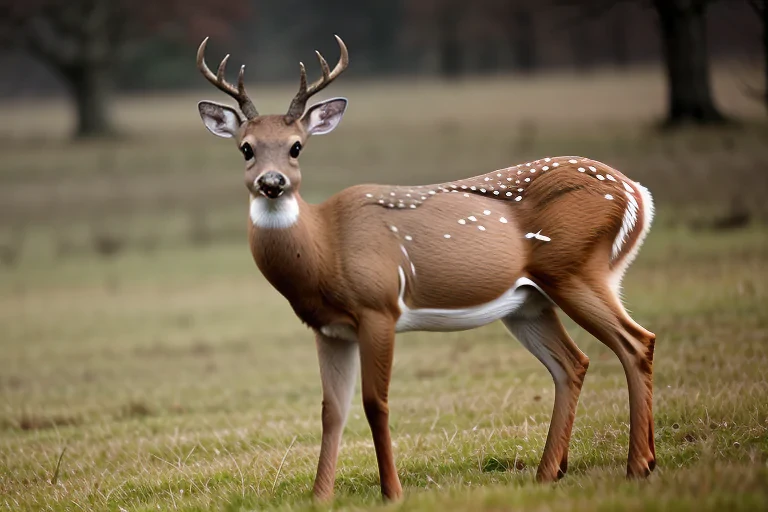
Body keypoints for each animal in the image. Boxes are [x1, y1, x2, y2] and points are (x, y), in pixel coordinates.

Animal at [195, 36, 657, 501]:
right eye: (247, 148)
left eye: (296, 147)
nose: (272, 183)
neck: (326, 246)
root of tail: (637, 193)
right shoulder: (328, 328)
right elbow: (332, 410)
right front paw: (320, 496)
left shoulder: (378, 306)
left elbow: (375, 403)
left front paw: (392, 492)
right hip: (529, 303)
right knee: (572, 363)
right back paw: (551, 473)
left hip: (578, 269)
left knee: (636, 341)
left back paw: (639, 465)